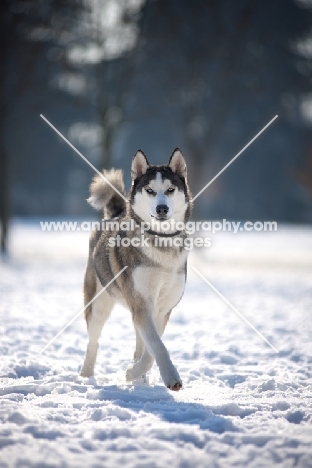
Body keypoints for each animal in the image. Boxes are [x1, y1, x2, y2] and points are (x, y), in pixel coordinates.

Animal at [80, 148, 193, 390]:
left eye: (170, 190)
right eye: (150, 190)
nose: (162, 208)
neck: (162, 245)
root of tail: (114, 215)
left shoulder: (162, 309)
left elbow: (152, 348)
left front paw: (134, 373)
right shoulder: (141, 304)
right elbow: (158, 346)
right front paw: (169, 377)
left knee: (139, 345)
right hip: (98, 302)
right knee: (93, 341)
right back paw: (86, 376)